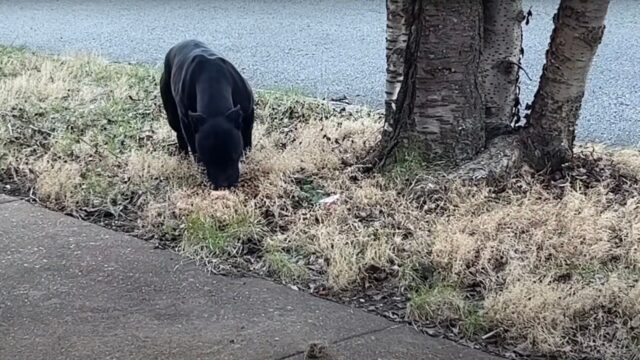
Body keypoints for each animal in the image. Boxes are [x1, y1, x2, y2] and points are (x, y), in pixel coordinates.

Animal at [160, 39, 255, 188]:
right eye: (207, 159)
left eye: (234, 155)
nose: (223, 185)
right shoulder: (188, 123)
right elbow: (194, 148)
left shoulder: (248, 114)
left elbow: (247, 141)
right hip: (172, 115)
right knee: (179, 133)